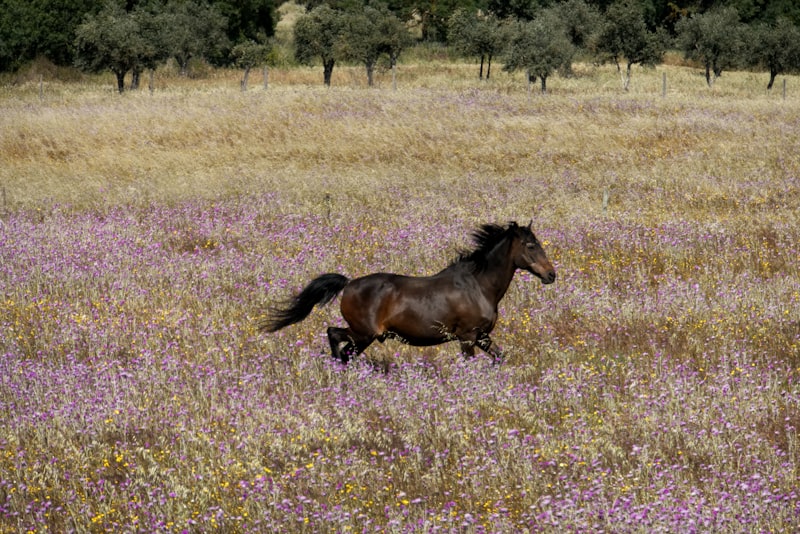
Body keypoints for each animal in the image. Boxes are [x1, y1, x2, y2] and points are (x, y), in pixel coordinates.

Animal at [260, 221, 556, 364]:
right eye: (531, 246)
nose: (551, 275)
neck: (479, 286)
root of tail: (349, 284)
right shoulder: (467, 337)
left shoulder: (483, 337)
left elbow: (499, 358)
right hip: (364, 333)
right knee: (335, 336)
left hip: (363, 336)